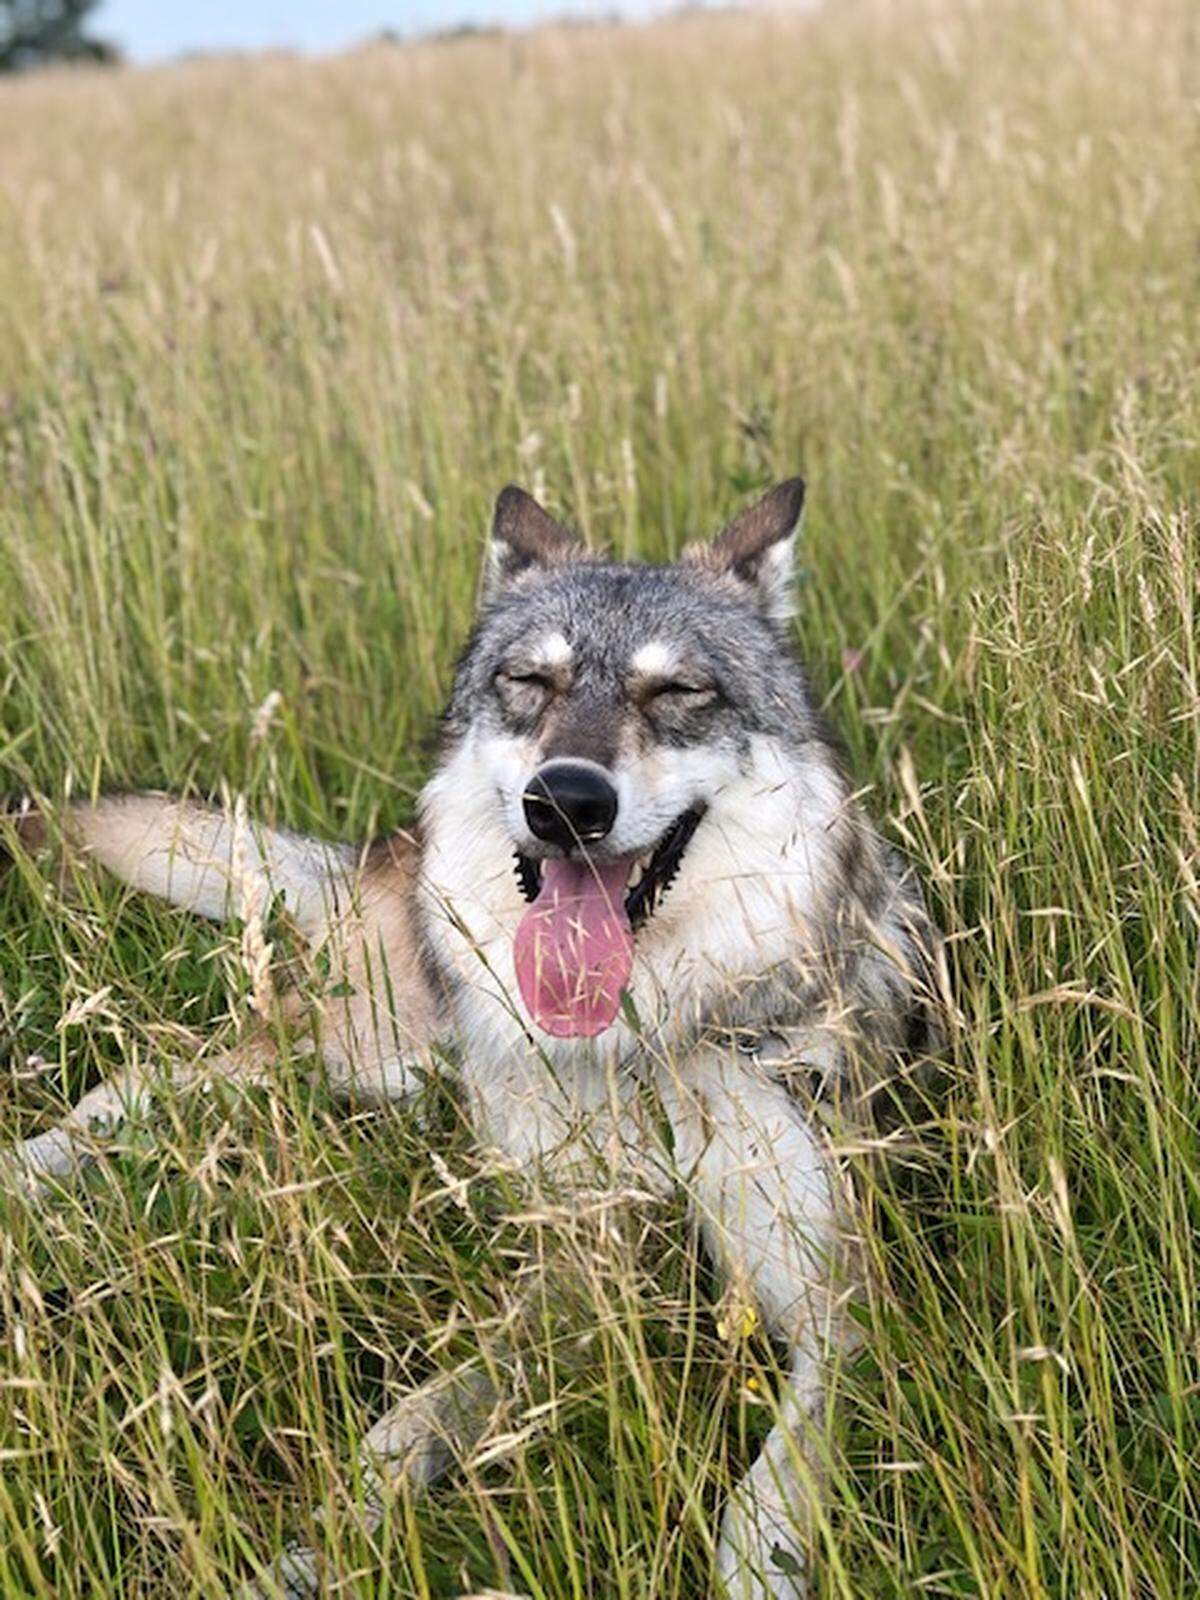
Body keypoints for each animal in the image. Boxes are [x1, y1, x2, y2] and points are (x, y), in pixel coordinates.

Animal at [4, 479, 942, 1598]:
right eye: (529, 681)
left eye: (679, 692)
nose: (567, 801)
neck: (637, 1049)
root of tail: (381, 852)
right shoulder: (578, 1265)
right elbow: (413, 1423)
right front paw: (323, 1541)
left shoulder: (839, 1308)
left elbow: (773, 1486)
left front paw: (762, 1558)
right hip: (361, 1056)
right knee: (148, 1079)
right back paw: (28, 1172)